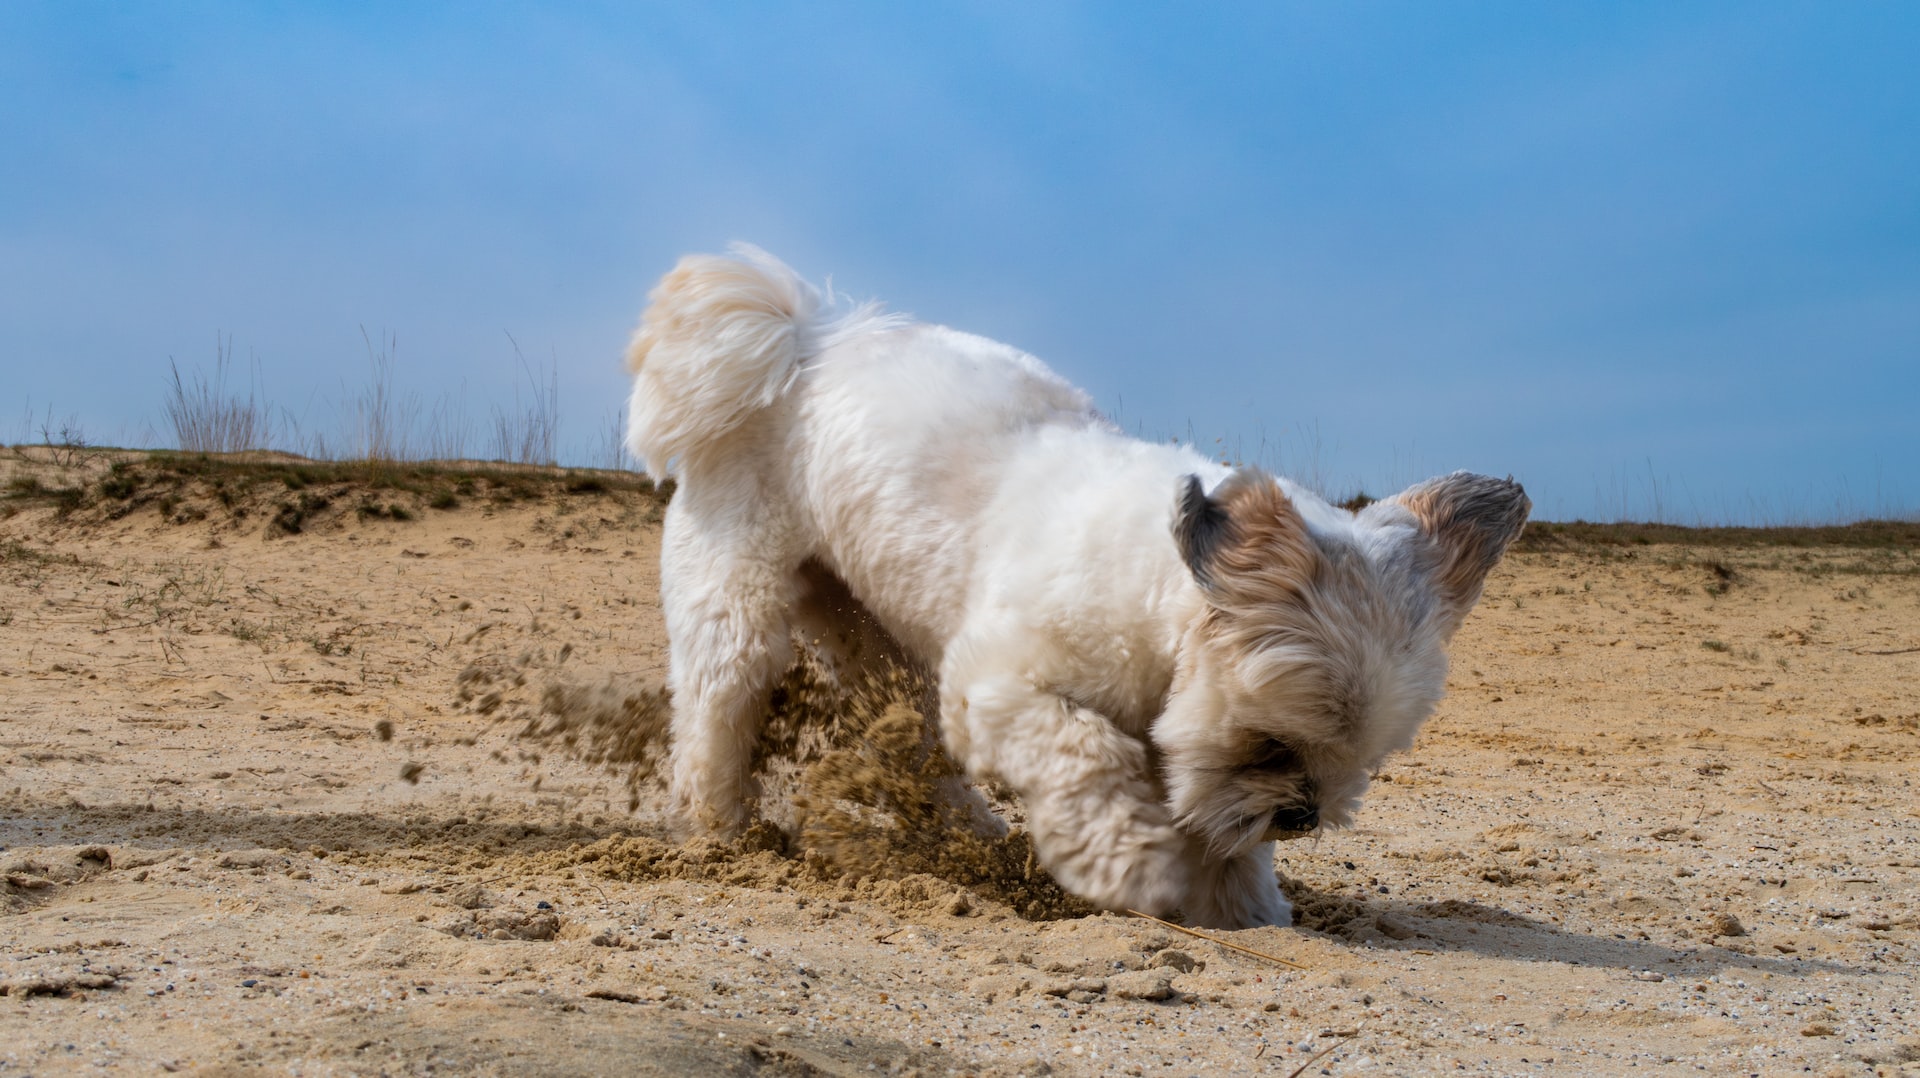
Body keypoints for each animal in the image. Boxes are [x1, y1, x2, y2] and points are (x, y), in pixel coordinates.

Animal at [629, 244, 1528, 926]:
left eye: (1361, 762)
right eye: (1271, 744)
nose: (1303, 814)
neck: (1158, 591)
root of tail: (806, 341)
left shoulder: (1181, 739)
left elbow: (1206, 809)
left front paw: (1240, 901)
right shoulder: (1007, 685)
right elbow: (1089, 758)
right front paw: (1134, 868)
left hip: (878, 637)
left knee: (921, 743)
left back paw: (976, 831)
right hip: (740, 611)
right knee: (717, 714)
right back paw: (719, 835)